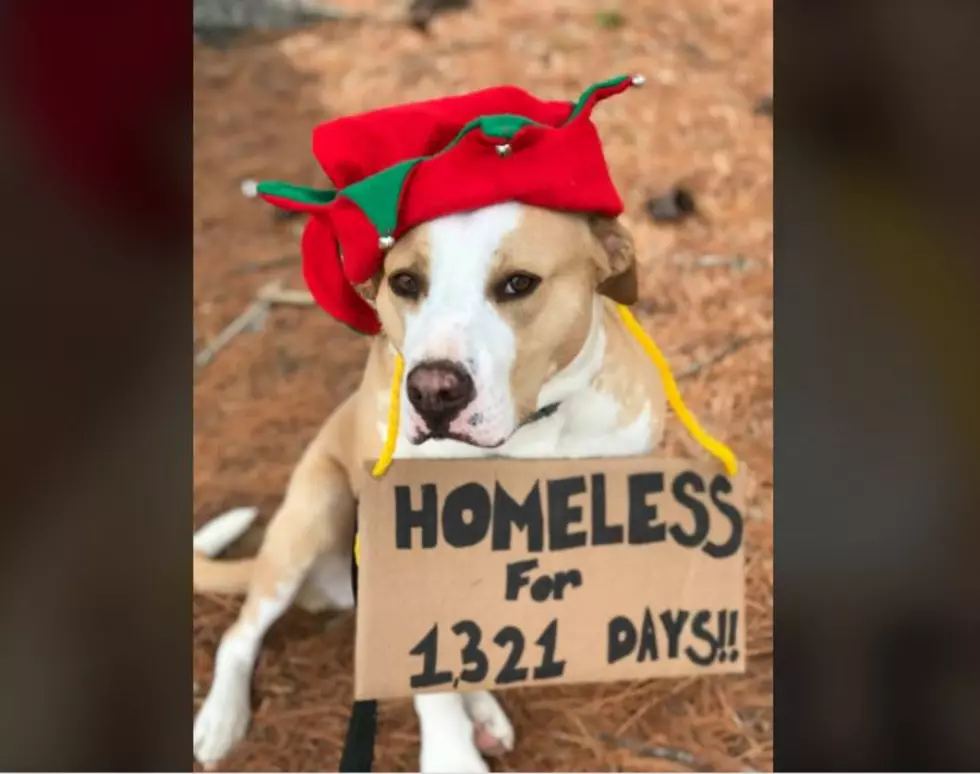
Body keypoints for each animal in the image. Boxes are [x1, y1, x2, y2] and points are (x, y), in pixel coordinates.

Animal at [191, 203, 668, 772]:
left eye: (518, 283)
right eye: (405, 282)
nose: (432, 392)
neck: (528, 436)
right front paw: (451, 756)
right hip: (309, 519)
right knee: (239, 638)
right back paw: (221, 719)